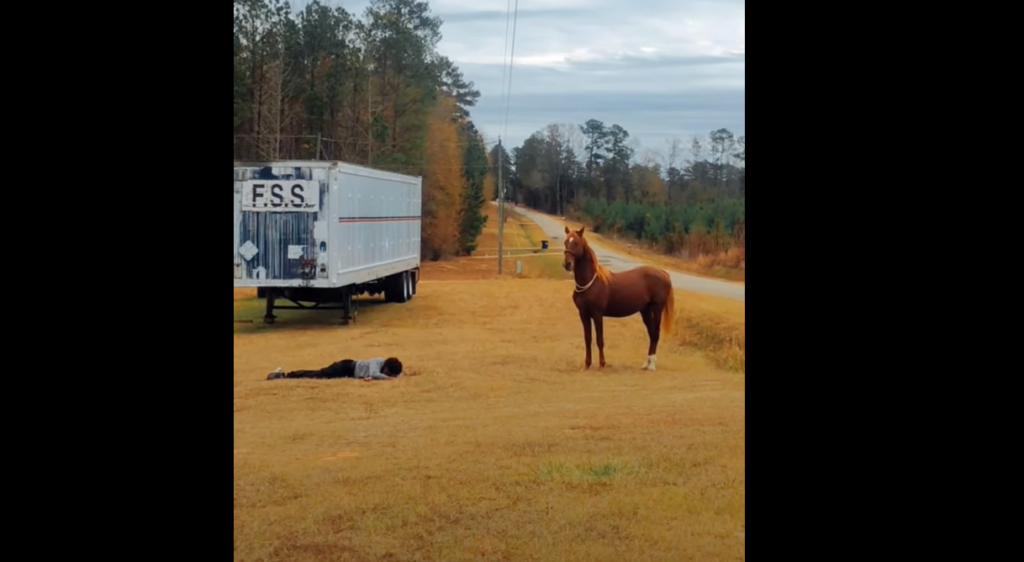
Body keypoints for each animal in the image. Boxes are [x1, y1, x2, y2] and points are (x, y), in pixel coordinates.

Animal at [565, 225, 675, 370]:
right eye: (566, 242)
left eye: (576, 243)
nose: (567, 264)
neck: (591, 282)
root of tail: (663, 273)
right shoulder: (584, 314)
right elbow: (587, 338)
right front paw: (587, 365)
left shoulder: (597, 314)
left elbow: (599, 339)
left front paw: (602, 364)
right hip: (645, 310)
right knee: (651, 334)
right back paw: (645, 364)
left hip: (657, 308)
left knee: (656, 333)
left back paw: (651, 365)